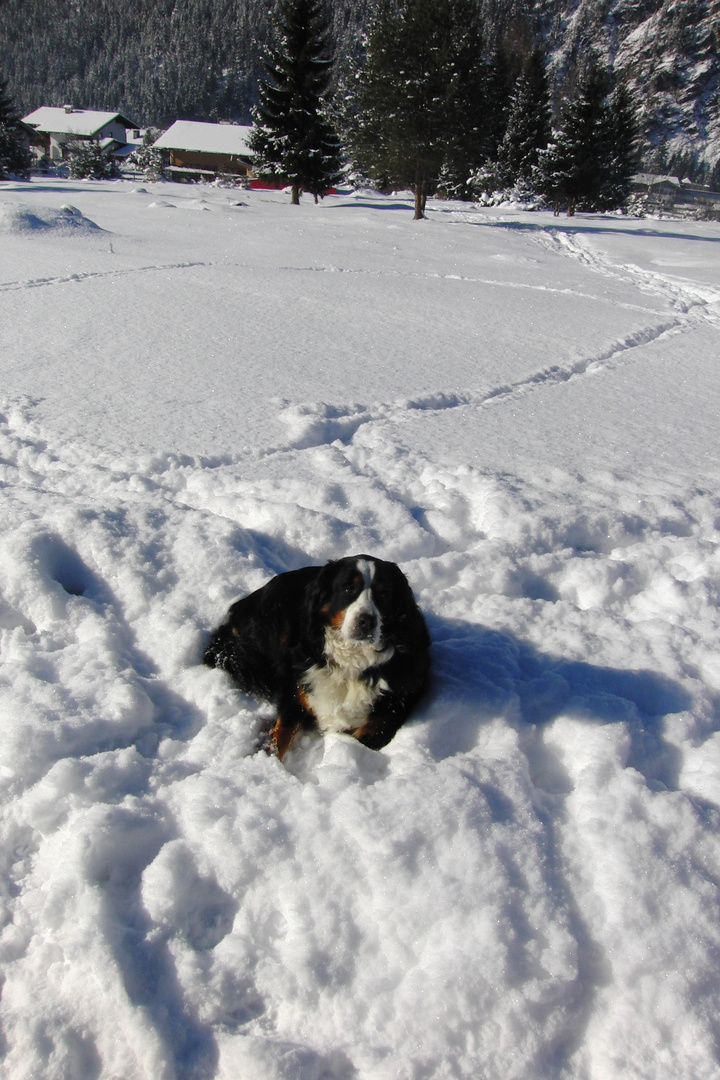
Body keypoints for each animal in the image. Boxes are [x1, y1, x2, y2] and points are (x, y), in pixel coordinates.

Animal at [202, 557, 431, 760]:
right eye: (348, 589)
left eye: (384, 594)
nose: (367, 621)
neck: (351, 662)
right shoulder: (297, 691)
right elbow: (279, 735)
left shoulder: (392, 709)